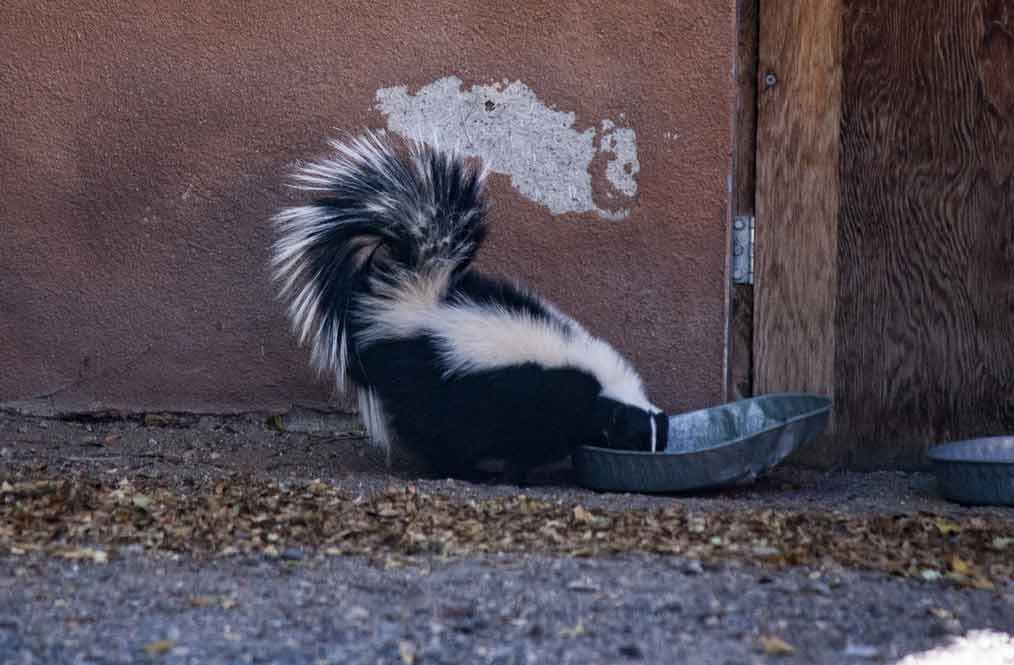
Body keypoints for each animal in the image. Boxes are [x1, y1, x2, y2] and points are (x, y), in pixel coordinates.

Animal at [271, 130, 665, 482]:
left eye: (658, 440)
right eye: (631, 435)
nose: (650, 457)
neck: (597, 380)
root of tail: (414, 295)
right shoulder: (538, 399)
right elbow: (529, 446)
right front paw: (516, 476)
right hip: (431, 381)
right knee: (434, 433)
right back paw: (462, 471)